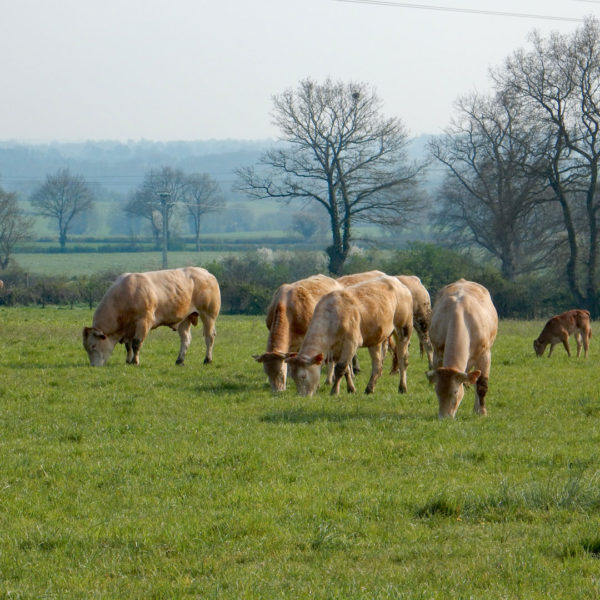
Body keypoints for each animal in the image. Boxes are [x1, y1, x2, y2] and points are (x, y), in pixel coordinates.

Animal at [81, 266, 218, 366]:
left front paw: (135, 361)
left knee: (209, 337)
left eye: (93, 346)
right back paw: (179, 360)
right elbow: (128, 346)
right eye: (86, 348)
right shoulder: (129, 329)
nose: (93, 366)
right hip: (185, 318)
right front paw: (128, 360)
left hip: (208, 315)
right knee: (186, 339)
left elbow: (136, 343)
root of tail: (206, 272)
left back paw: (207, 359)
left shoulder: (143, 321)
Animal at [284, 276, 412, 398]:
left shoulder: (351, 343)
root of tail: (397, 282)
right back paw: (369, 389)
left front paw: (334, 391)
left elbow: (340, 368)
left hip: (403, 329)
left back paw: (402, 387)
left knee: (403, 360)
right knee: (377, 366)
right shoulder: (337, 349)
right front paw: (351, 389)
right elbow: (346, 370)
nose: (302, 396)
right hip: (375, 339)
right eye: (293, 378)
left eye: (303, 376)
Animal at [424, 278, 500, 420]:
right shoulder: (437, 353)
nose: (444, 417)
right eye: (437, 391)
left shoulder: (485, 354)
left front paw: (481, 411)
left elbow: (481, 385)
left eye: (455, 391)